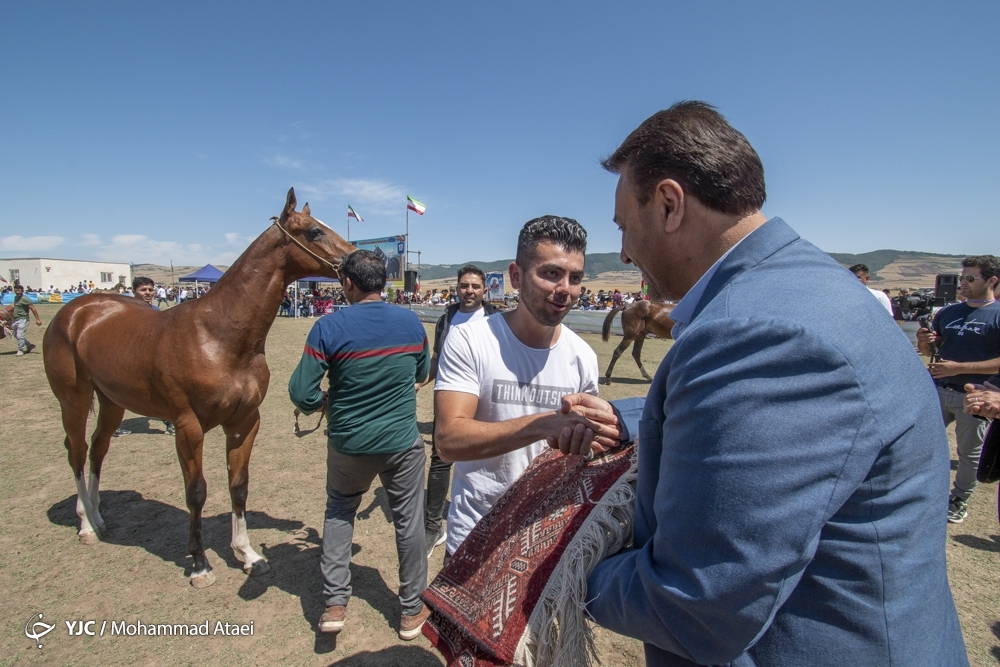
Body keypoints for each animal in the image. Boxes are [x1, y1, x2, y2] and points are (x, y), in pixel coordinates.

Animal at [44, 188, 356, 588]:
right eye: (315, 231)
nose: (365, 258)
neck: (217, 337)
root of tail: (76, 312)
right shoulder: (188, 427)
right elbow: (196, 492)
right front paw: (200, 563)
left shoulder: (244, 422)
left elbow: (239, 485)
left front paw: (248, 554)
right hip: (75, 398)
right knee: (78, 451)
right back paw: (84, 524)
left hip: (113, 401)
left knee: (98, 449)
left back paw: (97, 518)